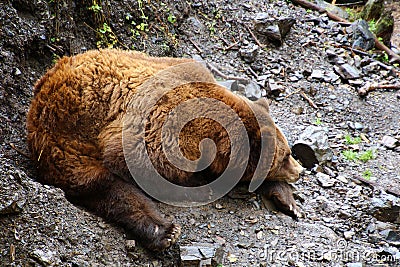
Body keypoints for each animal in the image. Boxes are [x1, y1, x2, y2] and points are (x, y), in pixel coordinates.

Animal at [26, 49, 304, 252]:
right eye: (286, 156)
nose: (300, 170)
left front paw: (288, 201)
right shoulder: (161, 124)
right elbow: (132, 161)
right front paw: (200, 186)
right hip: (64, 142)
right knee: (105, 186)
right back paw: (165, 231)